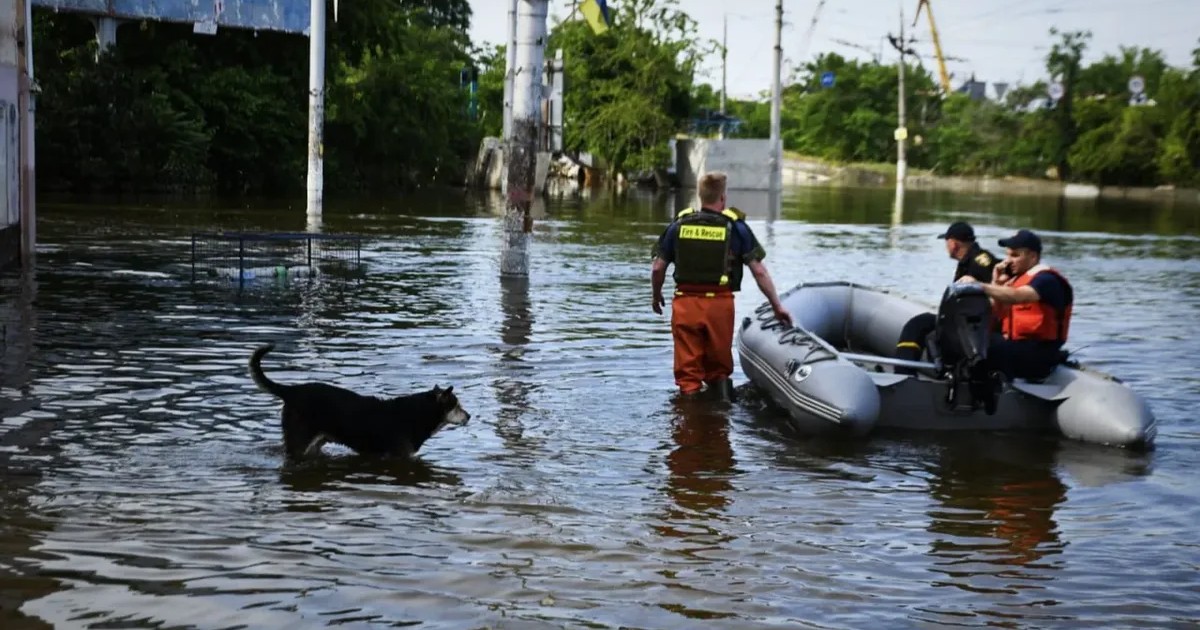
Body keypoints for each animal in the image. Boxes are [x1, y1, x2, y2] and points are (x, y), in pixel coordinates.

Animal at [248, 340, 468, 458]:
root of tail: (291, 391)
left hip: (316, 442)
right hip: (299, 440)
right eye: (457, 406)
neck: (419, 413)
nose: (470, 416)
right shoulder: (399, 455)